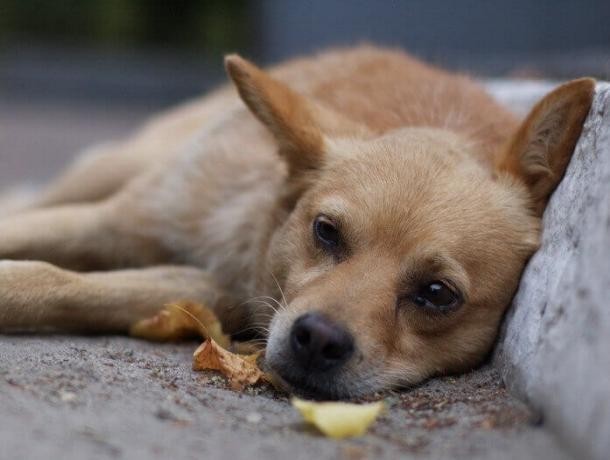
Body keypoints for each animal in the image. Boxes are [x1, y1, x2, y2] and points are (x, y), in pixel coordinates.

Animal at [0, 46, 592, 398]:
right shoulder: (112, 220)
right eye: (326, 232)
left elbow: (60, 284)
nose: (318, 340)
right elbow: (39, 254)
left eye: (437, 293)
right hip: (110, 170)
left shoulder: (197, 288)